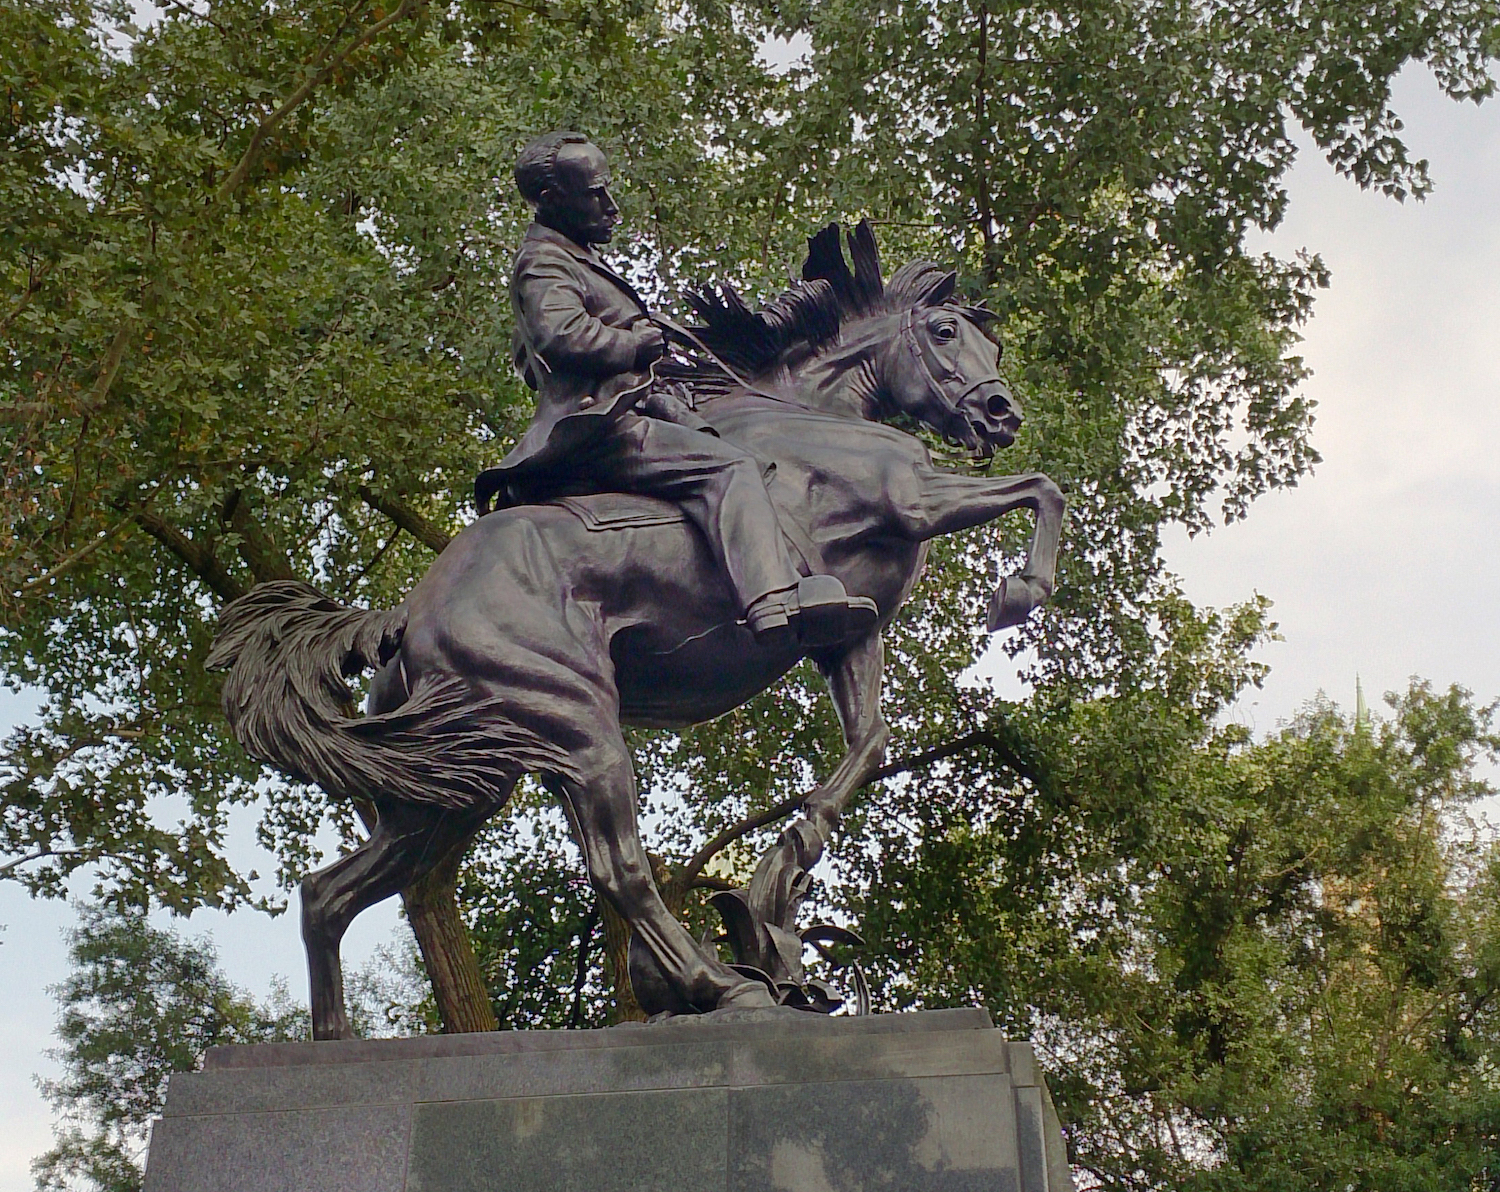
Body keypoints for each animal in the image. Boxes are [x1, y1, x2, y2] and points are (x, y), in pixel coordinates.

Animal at [205, 221, 1068, 1037]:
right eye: (946, 332)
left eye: (991, 341)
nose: (1002, 413)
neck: (812, 420)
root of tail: (409, 614)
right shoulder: (913, 500)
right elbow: (1040, 487)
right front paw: (1019, 591)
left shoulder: (845, 636)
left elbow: (868, 745)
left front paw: (781, 876)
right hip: (578, 726)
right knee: (617, 870)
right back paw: (722, 988)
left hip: (456, 784)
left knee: (329, 893)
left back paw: (330, 1044)